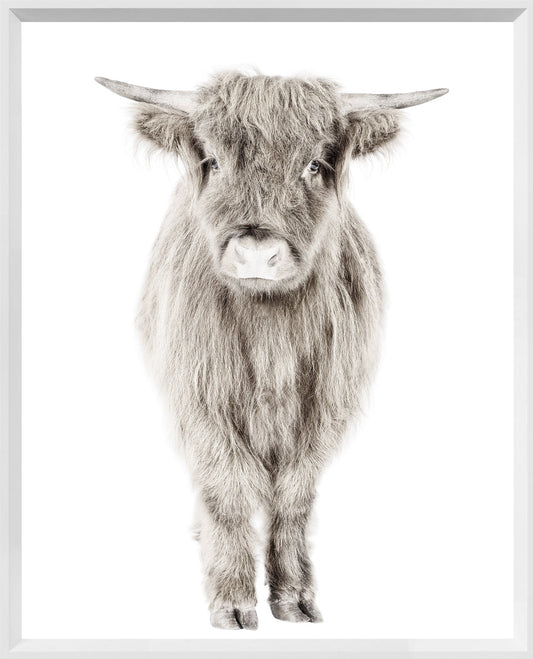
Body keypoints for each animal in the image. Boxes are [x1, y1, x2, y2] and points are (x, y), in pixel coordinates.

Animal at [96, 72, 447, 630]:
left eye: (315, 164)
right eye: (213, 161)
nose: (257, 253)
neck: (270, 332)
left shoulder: (325, 407)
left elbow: (294, 498)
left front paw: (295, 598)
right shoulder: (201, 400)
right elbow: (227, 490)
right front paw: (232, 601)